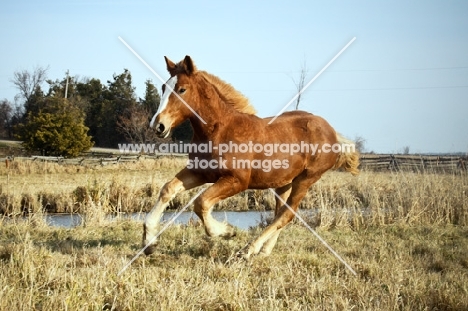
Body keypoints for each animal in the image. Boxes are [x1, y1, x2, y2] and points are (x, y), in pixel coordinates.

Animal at [143, 56, 358, 260]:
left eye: (182, 89)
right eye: (163, 87)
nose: (158, 125)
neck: (219, 130)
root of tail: (332, 131)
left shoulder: (237, 180)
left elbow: (201, 202)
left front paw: (226, 231)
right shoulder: (200, 172)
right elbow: (168, 190)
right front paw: (149, 242)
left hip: (306, 179)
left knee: (287, 214)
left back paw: (248, 250)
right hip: (284, 183)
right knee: (280, 214)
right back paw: (263, 251)